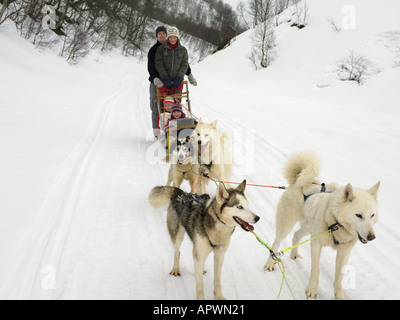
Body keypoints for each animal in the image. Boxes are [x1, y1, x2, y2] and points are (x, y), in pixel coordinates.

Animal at [266, 152, 382, 300]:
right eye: (358, 215)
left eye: (372, 215)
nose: (372, 237)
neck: (336, 222)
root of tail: (298, 181)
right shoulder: (316, 243)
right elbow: (315, 269)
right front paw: (312, 289)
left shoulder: (344, 252)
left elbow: (339, 278)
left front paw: (339, 296)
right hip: (287, 224)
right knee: (276, 242)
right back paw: (270, 262)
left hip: (308, 228)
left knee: (296, 235)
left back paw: (294, 254)